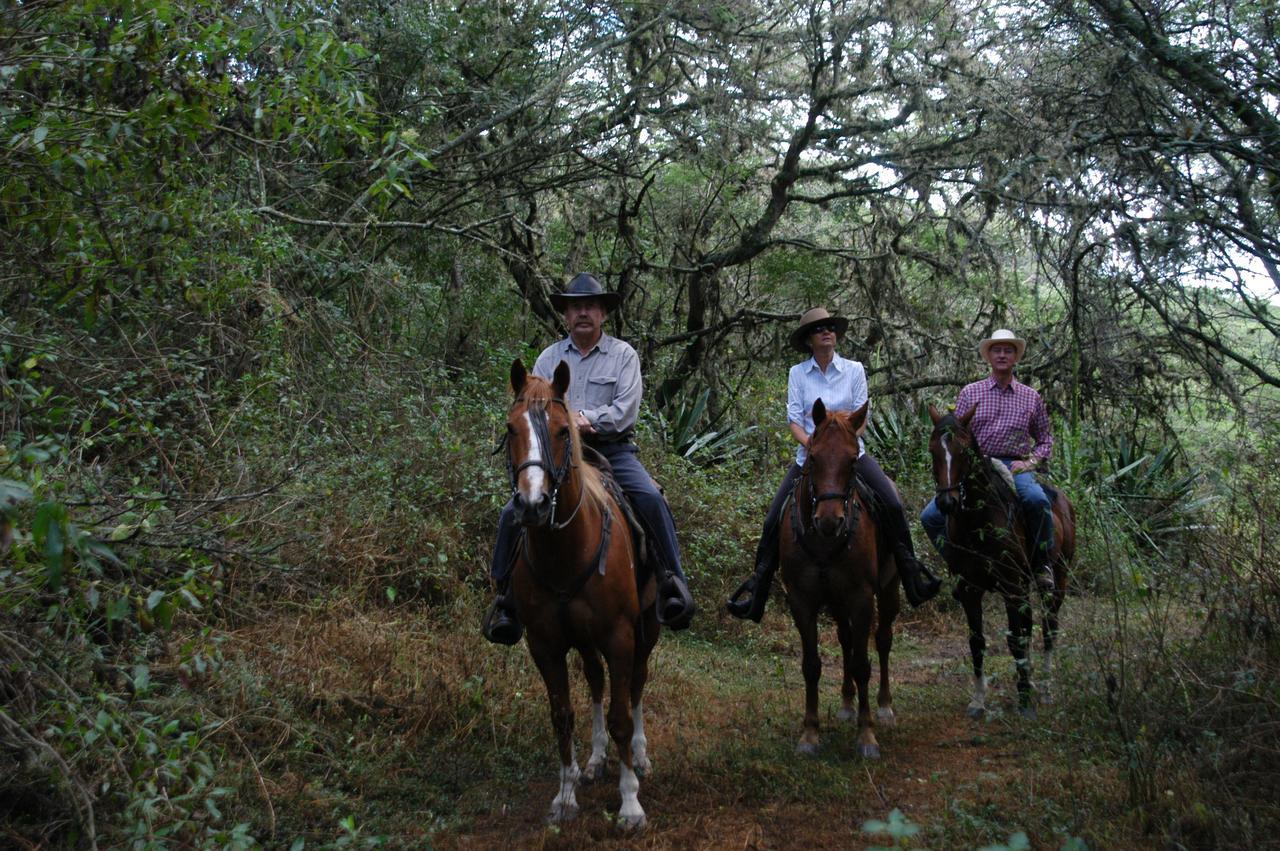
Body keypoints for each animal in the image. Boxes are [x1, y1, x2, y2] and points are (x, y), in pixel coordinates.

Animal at [501, 360, 660, 829]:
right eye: (511, 428)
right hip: (585, 639)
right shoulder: (545, 644)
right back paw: (594, 760)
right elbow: (562, 716)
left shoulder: (620, 637)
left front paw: (630, 803)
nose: (532, 505)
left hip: (647, 629)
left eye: (559, 430)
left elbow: (622, 715)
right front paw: (566, 794)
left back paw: (639, 757)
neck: (566, 551)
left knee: (636, 685)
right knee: (594, 679)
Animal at [778, 399, 901, 757]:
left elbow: (862, 663)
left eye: (852, 460)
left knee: (883, 639)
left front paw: (867, 735)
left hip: (888, 589)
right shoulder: (801, 600)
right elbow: (811, 664)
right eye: (813, 457)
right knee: (846, 639)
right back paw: (846, 704)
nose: (830, 521)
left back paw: (884, 707)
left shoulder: (861, 597)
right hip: (835, 599)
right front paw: (809, 734)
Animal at [926, 404, 1075, 716]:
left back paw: (1044, 688)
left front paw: (1024, 700)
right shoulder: (970, 590)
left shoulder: (1011, 586)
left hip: (1057, 579)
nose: (947, 503)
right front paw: (978, 700)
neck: (977, 522)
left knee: (1048, 628)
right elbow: (977, 642)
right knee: (1029, 626)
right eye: (933, 450)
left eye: (964, 452)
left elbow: (1015, 639)